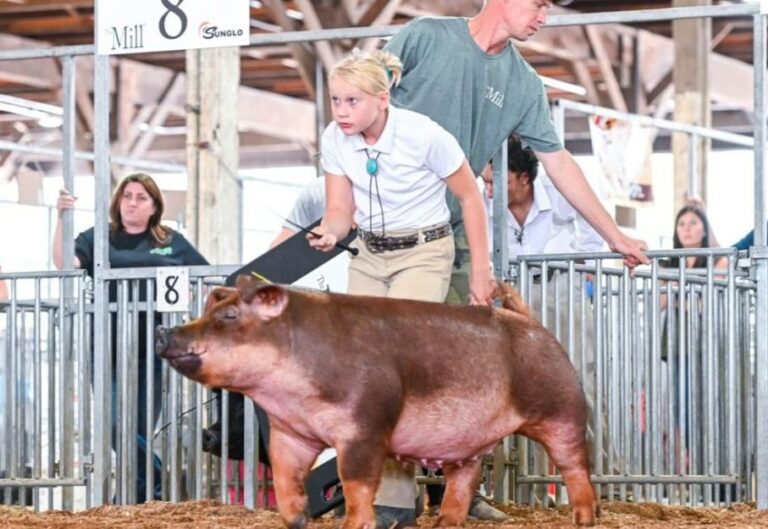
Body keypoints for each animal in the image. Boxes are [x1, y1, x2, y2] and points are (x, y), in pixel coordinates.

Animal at [155, 275, 597, 529]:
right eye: (209, 309)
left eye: (229, 317)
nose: (163, 332)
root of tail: (530, 322)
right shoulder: (289, 433)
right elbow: (285, 482)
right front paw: (297, 519)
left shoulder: (365, 426)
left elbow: (356, 486)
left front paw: (357, 524)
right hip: (470, 442)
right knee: (463, 480)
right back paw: (444, 524)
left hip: (562, 410)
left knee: (576, 468)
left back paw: (584, 519)